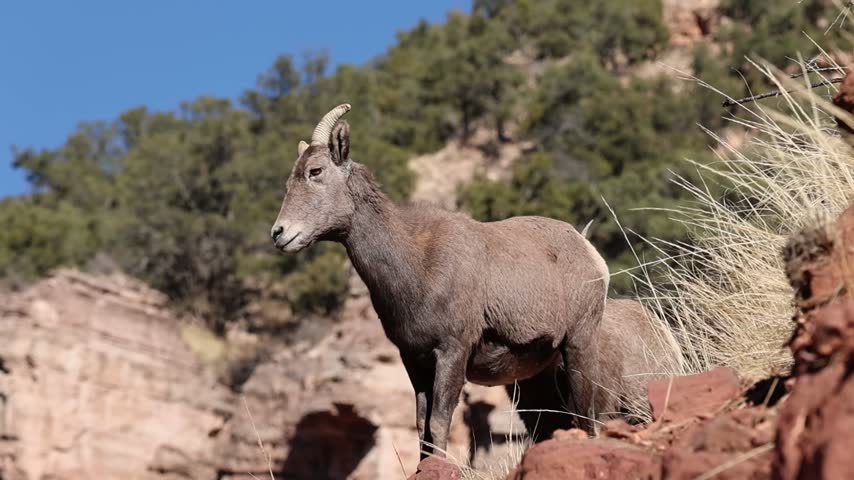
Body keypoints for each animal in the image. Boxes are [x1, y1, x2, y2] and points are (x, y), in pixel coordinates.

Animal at [271, 104, 610, 458]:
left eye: (316, 171)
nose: (279, 234)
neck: (417, 264)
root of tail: (587, 249)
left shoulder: (451, 352)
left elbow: (438, 423)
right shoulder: (415, 361)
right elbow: (422, 428)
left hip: (578, 345)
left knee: (586, 415)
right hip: (542, 372)